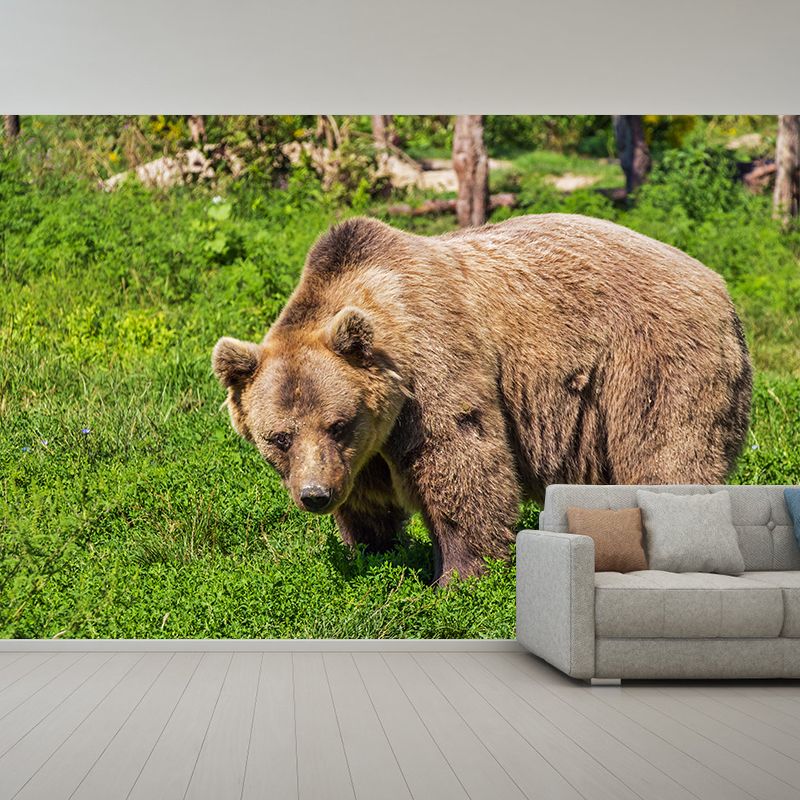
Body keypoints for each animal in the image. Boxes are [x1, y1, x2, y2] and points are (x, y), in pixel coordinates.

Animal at [212, 213, 752, 584]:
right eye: (279, 437)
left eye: (337, 423)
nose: (315, 495)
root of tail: (719, 286)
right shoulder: (364, 451)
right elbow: (368, 502)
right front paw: (372, 551)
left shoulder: (433, 369)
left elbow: (463, 465)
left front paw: (458, 578)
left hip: (653, 366)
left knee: (668, 457)